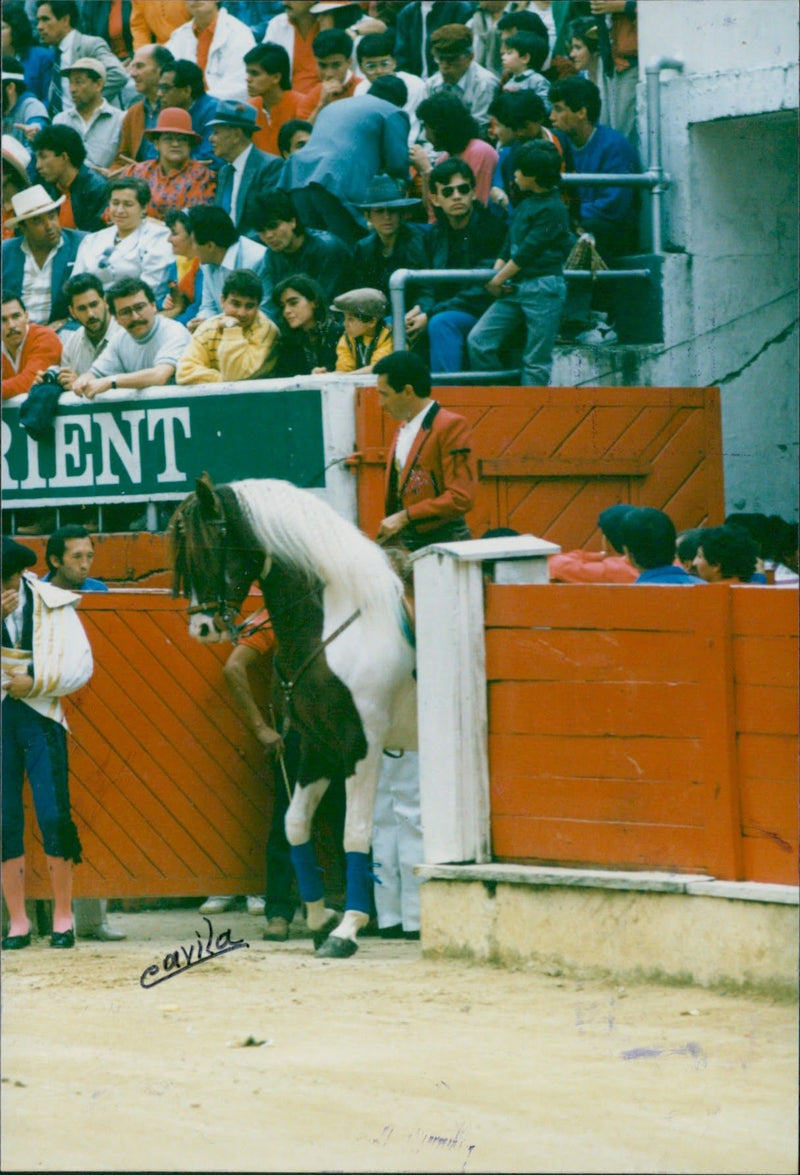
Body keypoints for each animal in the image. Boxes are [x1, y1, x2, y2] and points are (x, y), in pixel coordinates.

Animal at [169, 472, 418, 958]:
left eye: (208, 545)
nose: (201, 628)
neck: (335, 625)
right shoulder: (318, 745)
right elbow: (295, 824)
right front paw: (322, 919)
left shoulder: (362, 747)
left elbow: (355, 833)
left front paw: (346, 930)